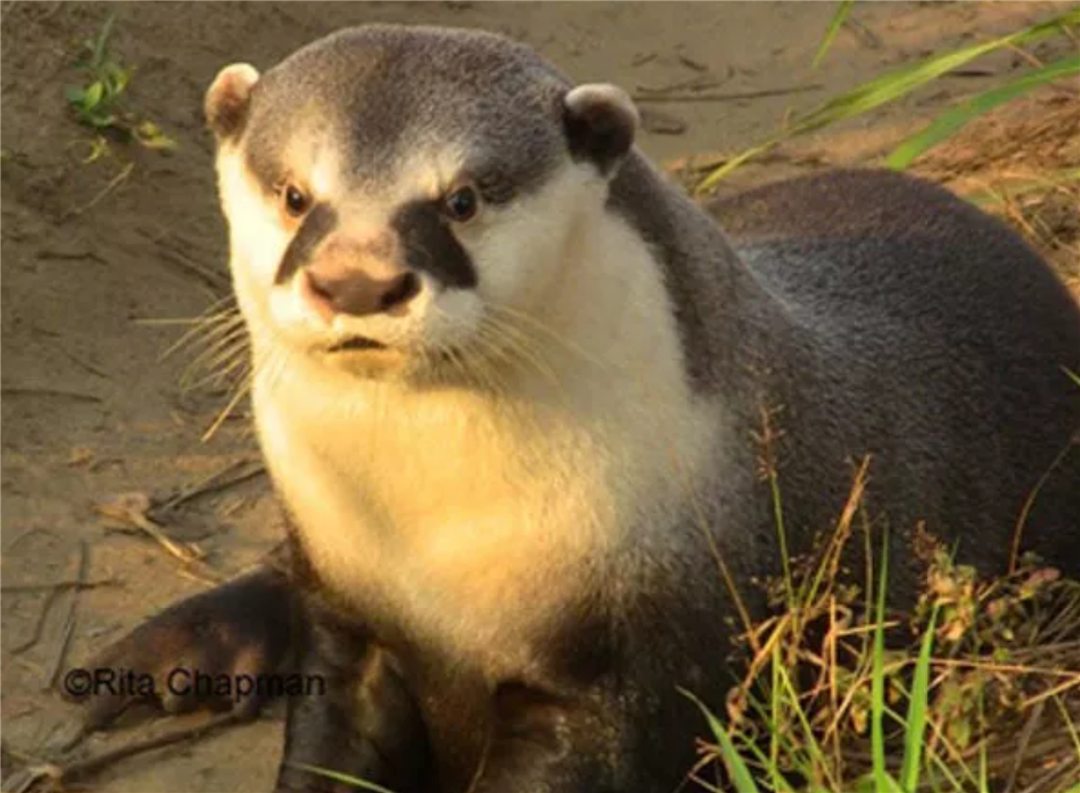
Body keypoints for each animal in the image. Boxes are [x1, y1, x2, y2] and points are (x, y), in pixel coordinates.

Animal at [76, 24, 1080, 793]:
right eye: (294, 195)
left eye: (462, 198)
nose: (357, 279)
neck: (438, 551)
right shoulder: (350, 623)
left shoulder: (628, 664)